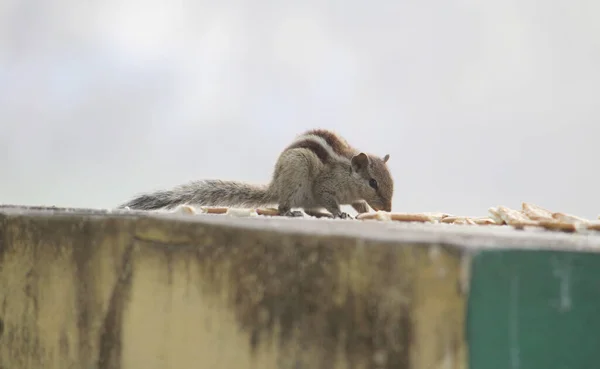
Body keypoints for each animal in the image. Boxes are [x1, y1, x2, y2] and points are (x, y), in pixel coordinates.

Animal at [119, 128, 396, 217]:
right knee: (285, 206)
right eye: (373, 182)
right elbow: (330, 199)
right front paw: (340, 213)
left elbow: (357, 204)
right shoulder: (325, 186)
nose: (388, 209)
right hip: (297, 173)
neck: (347, 173)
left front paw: (363, 210)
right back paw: (293, 212)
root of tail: (275, 185)